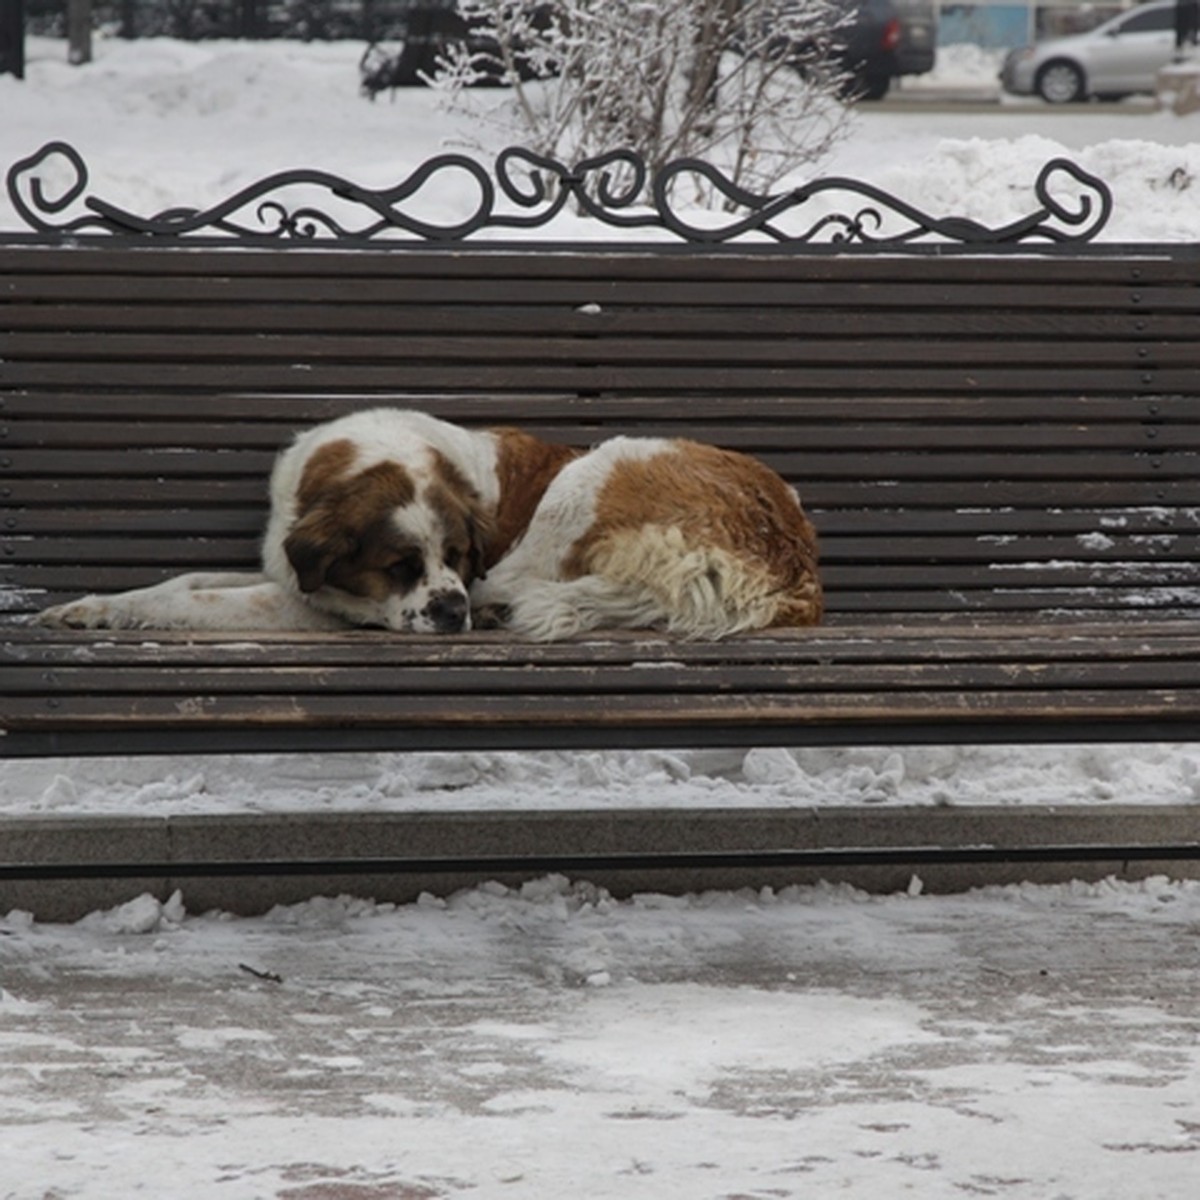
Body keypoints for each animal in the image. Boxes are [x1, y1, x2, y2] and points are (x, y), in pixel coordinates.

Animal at [39, 410, 825, 643]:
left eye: (458, 554)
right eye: (399, 565)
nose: (452, 610)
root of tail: (791, 564)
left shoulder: (319, 604)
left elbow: (192, 597)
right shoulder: (286, 570)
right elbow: (186, 579)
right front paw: (92, 606)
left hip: (596, 469)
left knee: (518, 583)